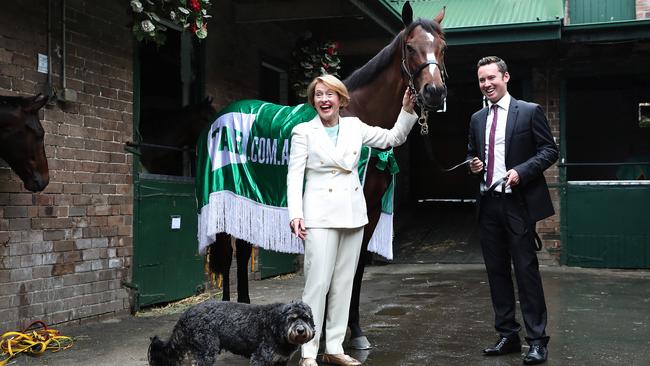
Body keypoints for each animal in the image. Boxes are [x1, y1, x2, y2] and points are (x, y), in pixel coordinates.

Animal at [147, 300, 314, 366]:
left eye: (306, 318)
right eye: (292, 318)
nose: (300, 330)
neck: (277, 326)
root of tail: (187, 313)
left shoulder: (281, 360)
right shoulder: (260, 358)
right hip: (207, 351)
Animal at [204, 0, 446, 348]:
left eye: (442, 47)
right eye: (411, 47)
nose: (434, 92)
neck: (357, 116)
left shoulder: (370, 211)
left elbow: (355, 270)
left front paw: (354, 331)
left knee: (244, 249)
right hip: (223, 201)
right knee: (227, 256)